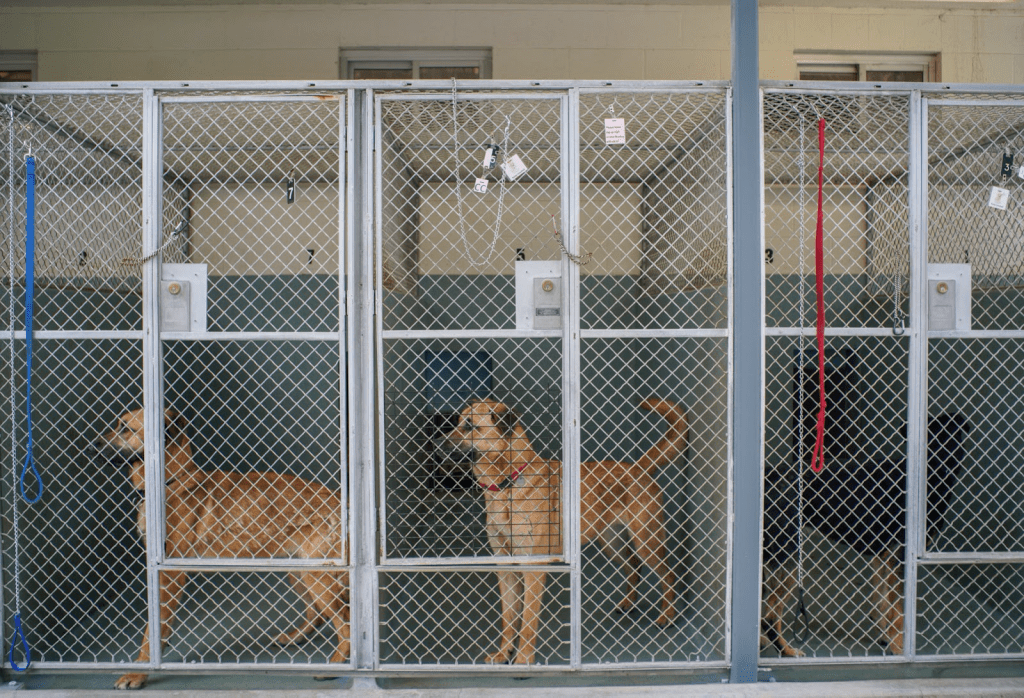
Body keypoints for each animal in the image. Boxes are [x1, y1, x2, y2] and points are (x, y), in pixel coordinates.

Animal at [96, 407, 352, 683]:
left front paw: (138, 672)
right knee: (318, 613)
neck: (170, 481)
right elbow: (161, 626)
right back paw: (295, 638)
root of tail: (341, 499)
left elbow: (152, 631)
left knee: (346, 622)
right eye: (118, 424)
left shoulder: (168, 574)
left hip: (317, 576)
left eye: (126, 428)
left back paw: (336, 664)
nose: (91, 446)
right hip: (300, 572)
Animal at [442, 397, 688, 663]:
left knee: (668, 573)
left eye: (469, 425)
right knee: (633, 565)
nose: (436, 443)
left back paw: (668, 615)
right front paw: (503, 652)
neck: (509, 482)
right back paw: (628, 603)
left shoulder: (533, 568)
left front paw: (523, 660)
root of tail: (639, 467)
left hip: (646, 541)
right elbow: (508, 619)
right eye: (458, 421)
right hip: (612, 542)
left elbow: (527, 623)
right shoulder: (505, 567)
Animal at [765, 411, 970, 655]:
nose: (944, 462)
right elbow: (897, 613)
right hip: (788, 556)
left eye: (952, 435)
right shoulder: (899, 559)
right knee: (769, 614)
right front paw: (898, 648)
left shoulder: (883, 558)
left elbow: (882, 604)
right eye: (930, 438)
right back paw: (785, 650)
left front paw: (886, 637)